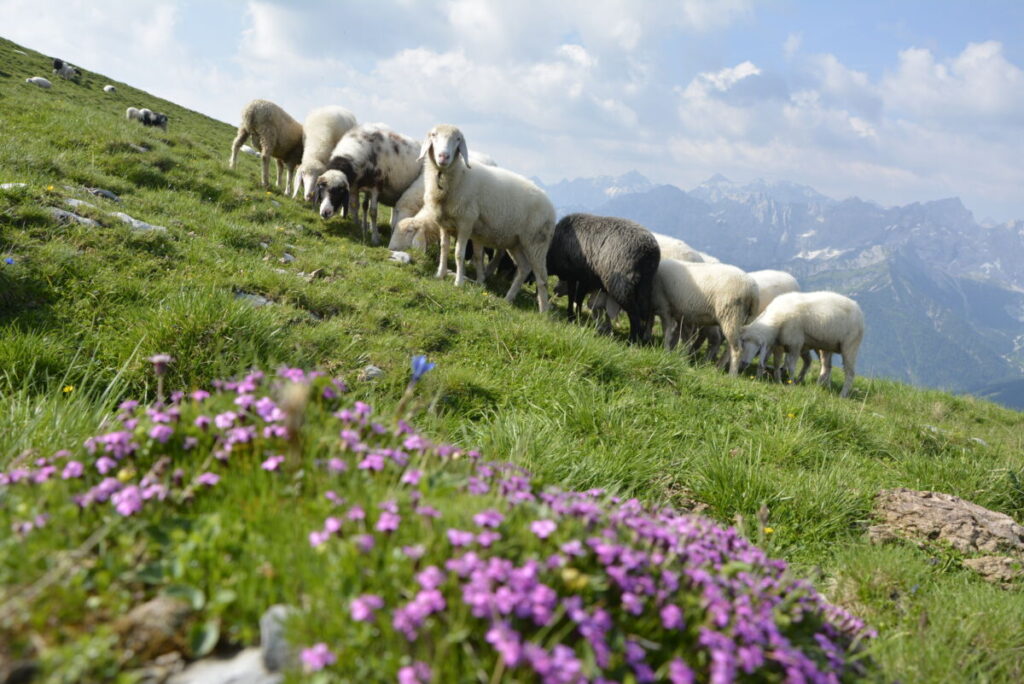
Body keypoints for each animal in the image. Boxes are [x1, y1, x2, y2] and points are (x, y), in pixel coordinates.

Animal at [393, 124, 557, 311]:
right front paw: (440, 274)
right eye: (433, 135)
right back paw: (508, 298)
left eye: (457, 139)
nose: (443, 156)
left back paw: (543, 310)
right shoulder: (444, 223)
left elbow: (459, 253)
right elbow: (444, 248)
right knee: (524, 268)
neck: (455, 177)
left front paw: (458, 282)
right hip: (516, 242)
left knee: (542, 278)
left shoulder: (466, 223)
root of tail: (551, 205)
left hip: (537, 242)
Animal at [548, 211, 659, 344]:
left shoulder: (573, 274)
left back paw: (631, 341)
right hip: (644, 286)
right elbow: (579, 298)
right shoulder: (585, 278)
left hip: (621, 286)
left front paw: (571, 316)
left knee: (634, 315)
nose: (554, 290)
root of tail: (649, 251)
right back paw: (642, 339)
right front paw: (578, 317)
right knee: (645, 313)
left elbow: (572, 296)